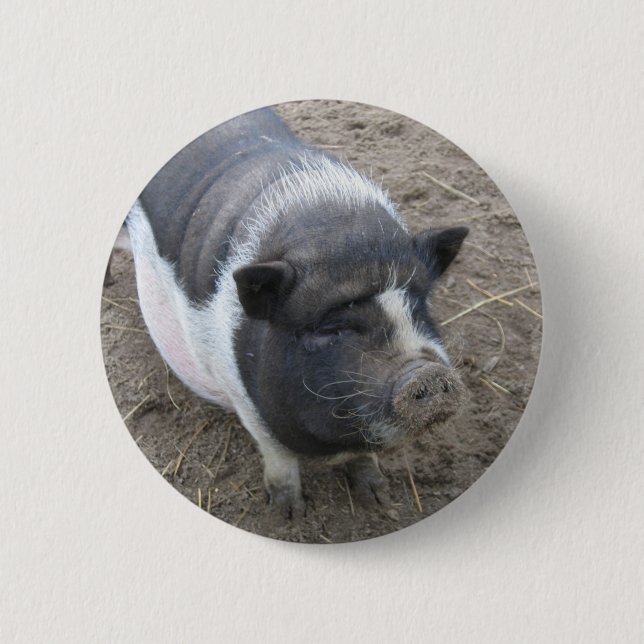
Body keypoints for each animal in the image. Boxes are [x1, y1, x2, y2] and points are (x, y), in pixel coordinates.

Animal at [120, 107, 468, 519]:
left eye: (418, 306)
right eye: (327, 328)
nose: (427, 372)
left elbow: (364, 458)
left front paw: (379, 498)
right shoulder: (244, 397)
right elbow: (279, 457)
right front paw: (289, 515)